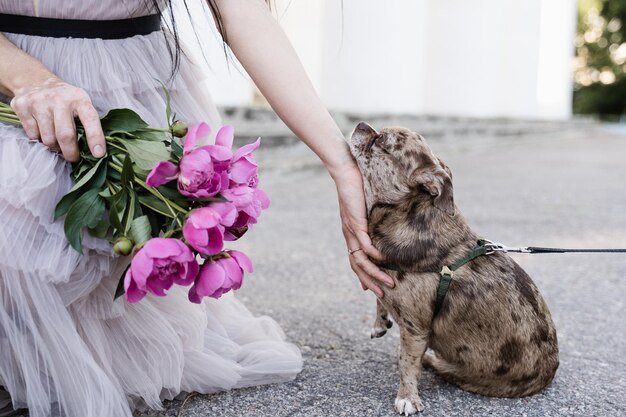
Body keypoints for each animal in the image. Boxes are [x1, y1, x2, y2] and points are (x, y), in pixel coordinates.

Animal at [348, 122, 560, 414]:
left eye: (381, 142)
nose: (362, 124)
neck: (405, 213)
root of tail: (549, 373)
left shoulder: (415, 329)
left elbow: (406, 363)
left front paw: (408, 397)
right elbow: (381, 293)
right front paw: (380, 321)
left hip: (461, 372)